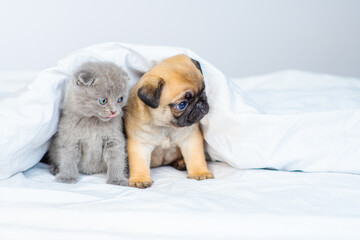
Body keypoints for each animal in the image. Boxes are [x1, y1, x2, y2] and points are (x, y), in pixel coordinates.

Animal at [125, 54, 214, 188]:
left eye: (203, 90)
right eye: (182, 105)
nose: (200, 103)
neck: (166, 126)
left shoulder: (190, 139)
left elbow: (196, 157)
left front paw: (200, 172)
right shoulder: (140, 144)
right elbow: (139, 164)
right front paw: (139, 179)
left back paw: (181, 163)